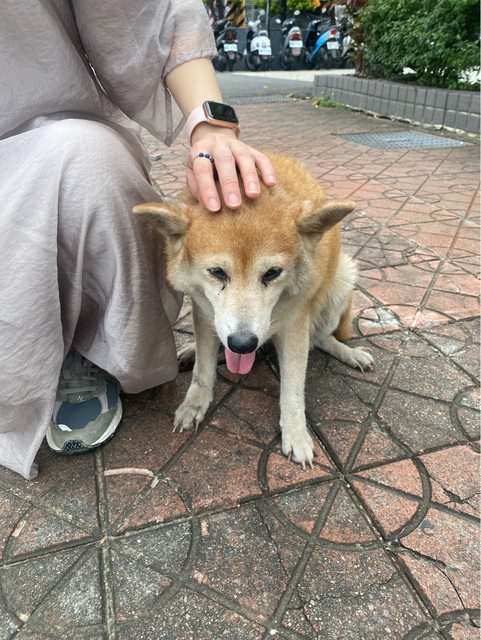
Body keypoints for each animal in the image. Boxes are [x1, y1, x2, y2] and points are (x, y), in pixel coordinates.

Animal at [133, 152, 373, 468]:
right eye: (217, 272)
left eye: (272, 273)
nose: (243, 344)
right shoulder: (203, 312)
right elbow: (203, 371)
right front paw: (195, 401)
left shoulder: (295, 324)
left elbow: (293, 390)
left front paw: (296, 432)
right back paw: (190, 351)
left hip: (341, 280)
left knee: (322, 339)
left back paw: (349, 353)